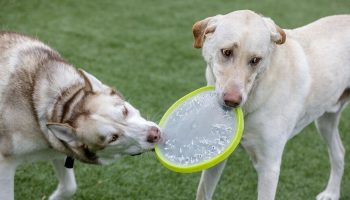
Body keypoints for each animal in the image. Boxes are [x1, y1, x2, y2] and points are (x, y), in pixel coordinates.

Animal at [0, 32, 161, 200]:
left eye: (124, 111)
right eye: (113, 138)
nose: (155, 134)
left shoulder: (62, 152)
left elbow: (70, 187)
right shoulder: (5, 162)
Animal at [193, 10, 350, 200]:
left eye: (255, 60)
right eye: (226, 52)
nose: (232, 101)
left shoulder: (269, 166)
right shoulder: (217, 156)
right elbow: (203, 193)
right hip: (325, 121)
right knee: (339, 152)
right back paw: (331, 193)